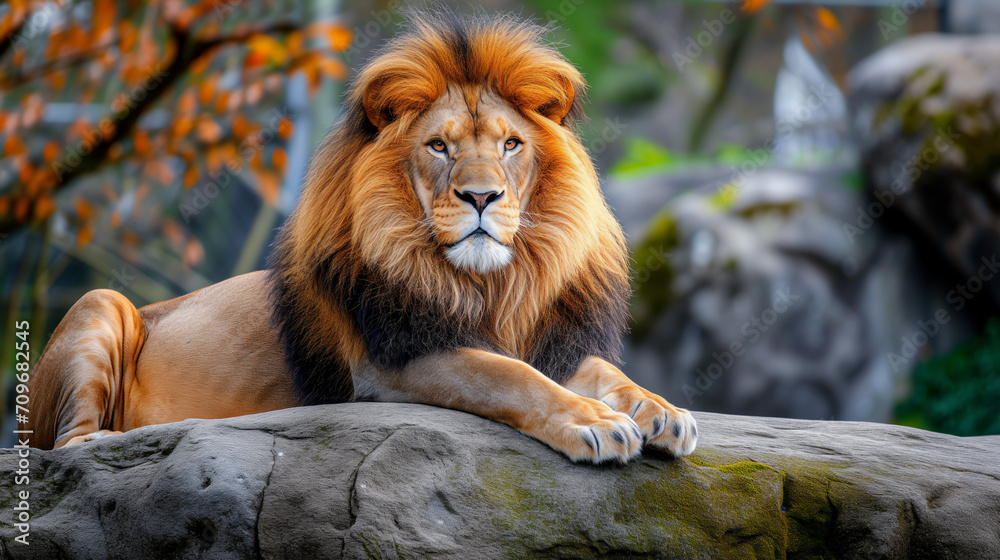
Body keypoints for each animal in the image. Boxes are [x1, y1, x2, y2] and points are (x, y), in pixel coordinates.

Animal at [24, 12, 697, 463]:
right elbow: (507, 377)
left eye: (511, 144)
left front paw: (662, 411)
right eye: (438, 146)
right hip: (101, 304)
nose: (482, 197)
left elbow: (605, 372)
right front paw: (595, 423)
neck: (491, 285)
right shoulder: (389, 363)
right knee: (67, 447)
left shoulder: (546, 339)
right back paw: (126, 439)